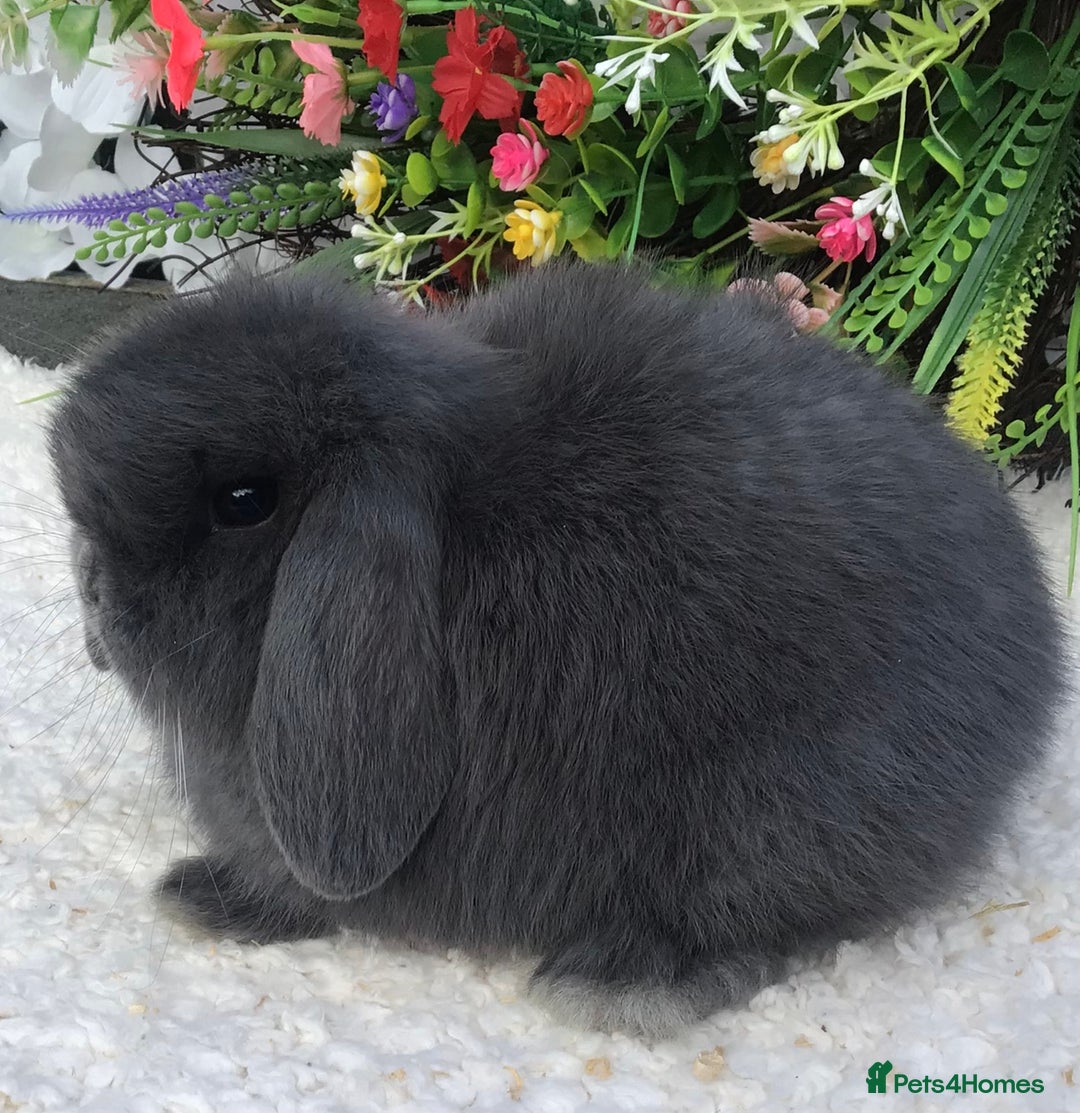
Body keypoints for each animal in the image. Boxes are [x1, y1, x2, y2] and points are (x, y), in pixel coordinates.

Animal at [48, 261, 1064, 1039]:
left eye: (244, 501)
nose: (93, 594)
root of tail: (1037, 643)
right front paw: (211, 896)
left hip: (779, 818)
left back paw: (625, 984)